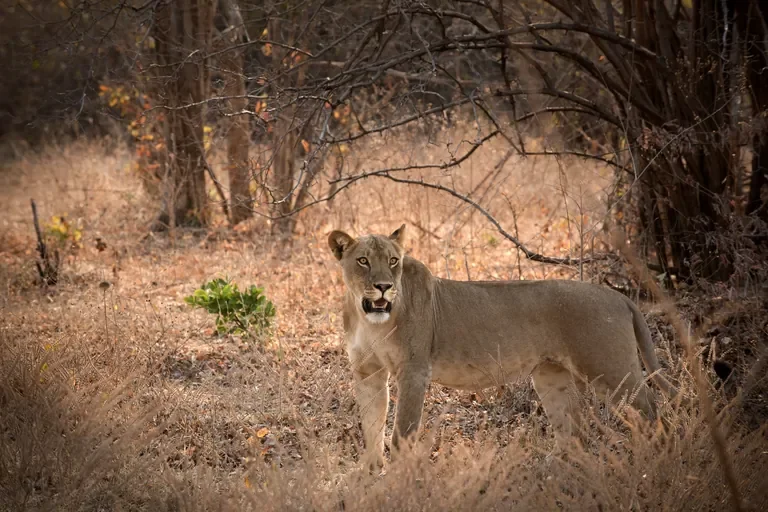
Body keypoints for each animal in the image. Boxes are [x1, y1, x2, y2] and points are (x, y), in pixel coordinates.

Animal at [328, 224, 674, 467]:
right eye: (363, 261)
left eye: (393, 261)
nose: (384, 287)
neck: (369, 319)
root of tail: (619, 296)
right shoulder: (368, 373)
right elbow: (372, 427)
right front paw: (371, 474)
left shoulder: (414, 371)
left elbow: (402, 433)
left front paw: (398, 480)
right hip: (551, 378)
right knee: (574, 432)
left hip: (611, 371)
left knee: (651, 408)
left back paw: (660, 460)